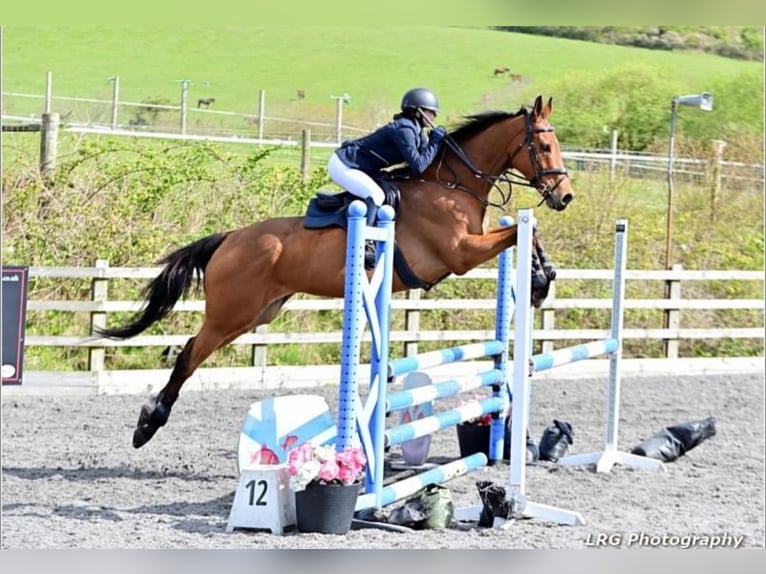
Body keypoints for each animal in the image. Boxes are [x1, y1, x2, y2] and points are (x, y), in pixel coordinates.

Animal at [97, 95, 576, 450]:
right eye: (544, 146)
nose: (565, 197)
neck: (452, 185)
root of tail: (231, 237)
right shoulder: (459, 254)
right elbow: (519, 231)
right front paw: (538, 280)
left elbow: (526, 233)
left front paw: (542, 278)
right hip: (231, 312)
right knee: (188, 355)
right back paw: (147, 425)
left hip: (258, 313)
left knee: (192, 350)